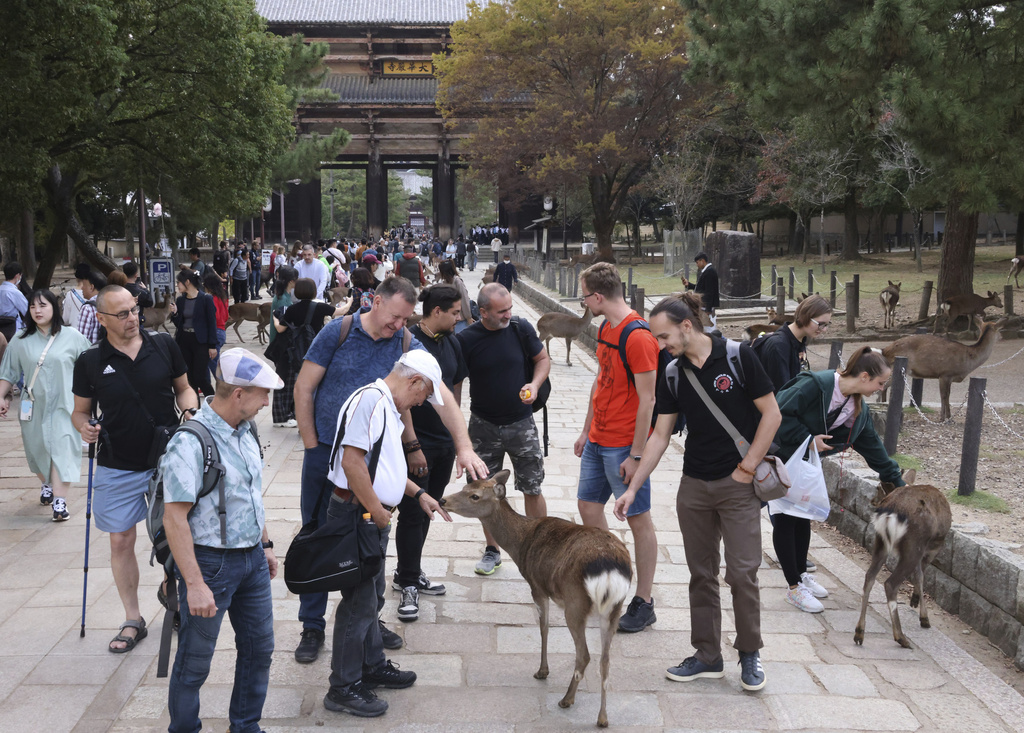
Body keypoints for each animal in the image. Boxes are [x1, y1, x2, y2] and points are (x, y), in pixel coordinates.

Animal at [442, 468, 630, 728]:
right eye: (464, 486)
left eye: (475, 496)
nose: (442, 501)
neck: (520, 543)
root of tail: (611, 570)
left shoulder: (537, 586)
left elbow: (544, 628)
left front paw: (542, 671)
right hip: (614, 609)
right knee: (605, 660)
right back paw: (602, 718)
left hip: (575, 602)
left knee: (584, 654)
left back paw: (566, 699)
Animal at [847, 468, 950, 647]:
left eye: (878, 488)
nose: (873, 501)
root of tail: (891, 513)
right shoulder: (933, 547)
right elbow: (920, 576)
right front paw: (922, 615)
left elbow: (918, 575)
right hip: (913, 545)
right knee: (890, 583)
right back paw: (901, 637)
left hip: (880, 542)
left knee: (869, 577)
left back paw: (859, 633)